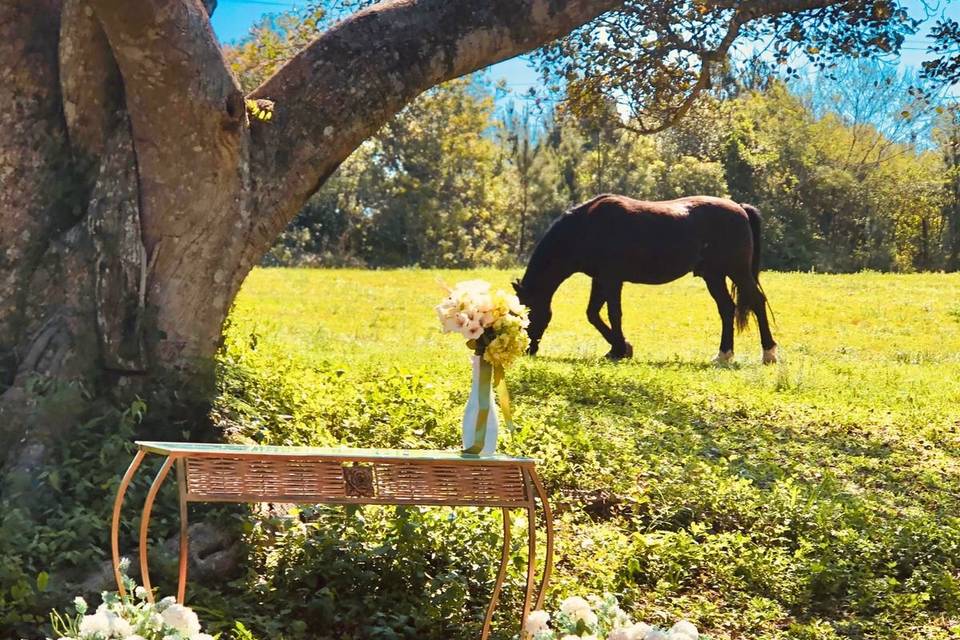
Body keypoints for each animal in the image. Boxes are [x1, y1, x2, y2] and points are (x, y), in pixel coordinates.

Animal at [512, 195, 776, 362]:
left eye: (526, 313)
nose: (527, 349)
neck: (586, 228)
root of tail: (740, 208)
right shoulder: (600, 279)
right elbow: (593, 314)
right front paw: (619, 348)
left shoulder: (611, 279)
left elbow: (613, 314)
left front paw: (620, 350)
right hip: (714, 275)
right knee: (727, 309)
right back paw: (723, 355)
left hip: (737, 271)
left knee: (757, 301)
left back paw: (769, 353)